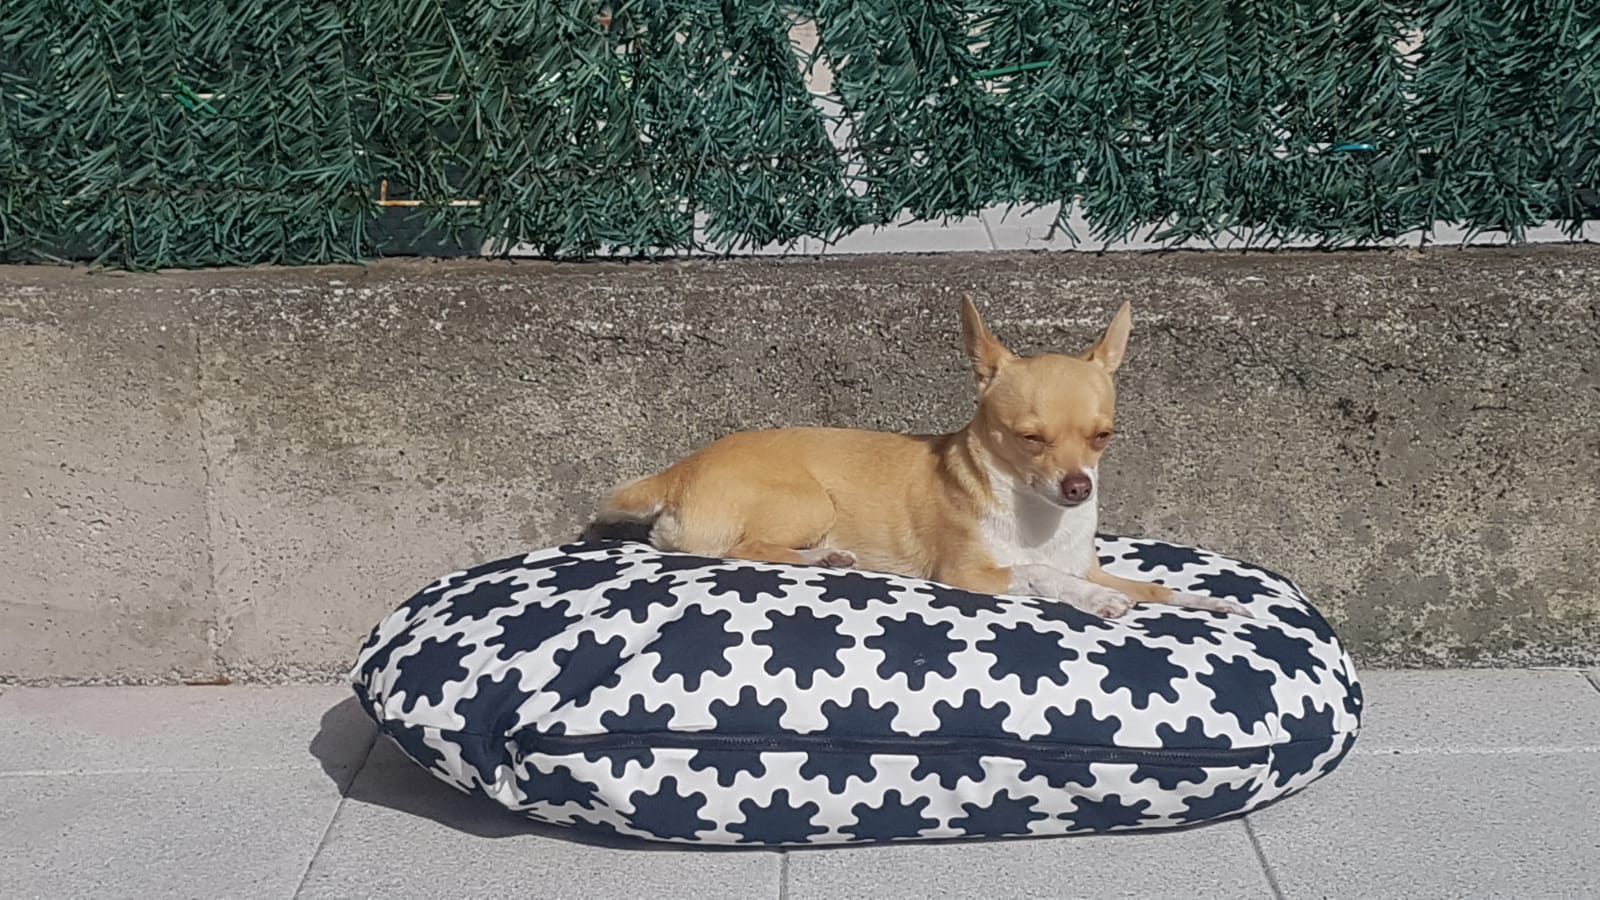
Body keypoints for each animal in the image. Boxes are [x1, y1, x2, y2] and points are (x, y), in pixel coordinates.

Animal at [589, 295, 1248, 619]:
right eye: (1029, 438)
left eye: (1103, 437)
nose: (1078, 486)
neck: (1035, 518)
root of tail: (677, 472)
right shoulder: (968, 573)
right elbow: (1043, 574)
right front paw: (1095, 601)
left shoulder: (1087, 562)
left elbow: (1153, 586)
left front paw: (1204, 599)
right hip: (810, 503)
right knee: (742, 549)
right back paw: (822, 557)